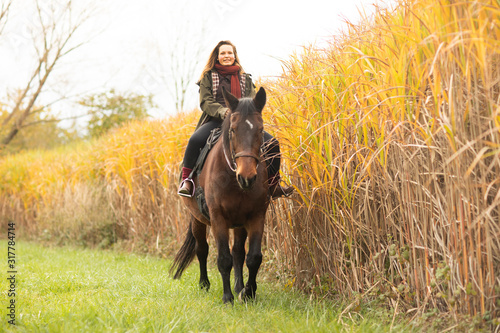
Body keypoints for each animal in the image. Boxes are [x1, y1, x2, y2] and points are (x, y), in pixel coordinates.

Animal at [171, 86, 274, 304]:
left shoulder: (256, 216)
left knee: (238, 253)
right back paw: (204, 284)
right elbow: (224, 258)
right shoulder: (218, 217)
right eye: (233, 130)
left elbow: (253, 257)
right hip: (197, 219)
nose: (247, 177)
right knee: (202, 249)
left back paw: (239, 286)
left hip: (239, 223)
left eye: (260, 130)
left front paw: (248, 292)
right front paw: (228, 298)